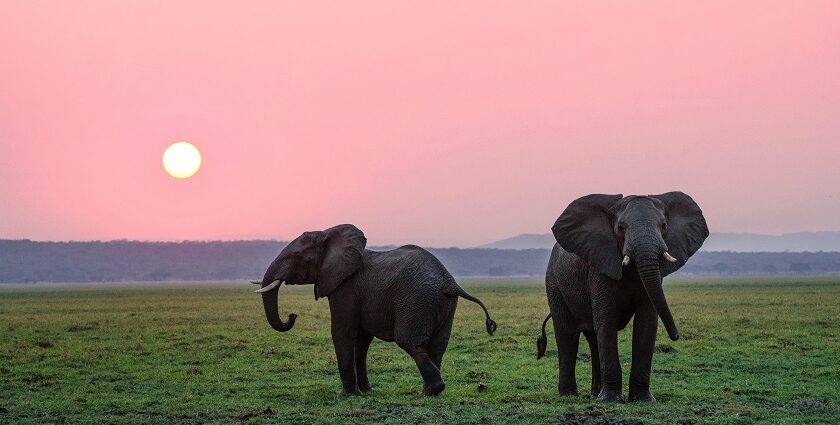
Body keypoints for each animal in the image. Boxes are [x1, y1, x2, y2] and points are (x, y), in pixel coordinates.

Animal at [253, 224, 496, 396]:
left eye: (297, 258)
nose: (292, 315)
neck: (328, 234)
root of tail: (448, 281)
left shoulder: (345, 287)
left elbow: (342, 331)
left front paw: (347, 394)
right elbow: (362, 340)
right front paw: (366, 391)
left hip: (417, 300)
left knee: (409, 341)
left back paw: (431, 391)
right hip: (445, 303)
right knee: (438, 345)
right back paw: (428, 391)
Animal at [536, 191, 704, 400]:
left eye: (664, 226)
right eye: (620, 228)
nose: (676, 335)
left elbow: (646, 323)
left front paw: (642, 400)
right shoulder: (600, 266)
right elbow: (607, 321)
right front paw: (611, 400)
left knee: (593, 338)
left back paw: (595, 395)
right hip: (554, 283)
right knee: (567, 335)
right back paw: (570, 395)